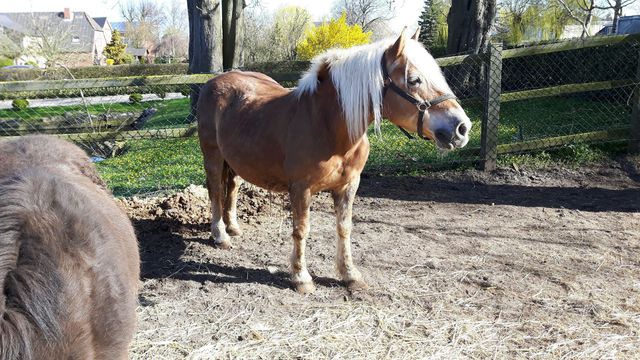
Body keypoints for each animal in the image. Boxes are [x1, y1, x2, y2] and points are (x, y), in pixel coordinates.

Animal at [196, 28, 470, 292]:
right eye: (414, 80)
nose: (461, 128)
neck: (326, 125)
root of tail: (214, 82)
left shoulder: (349, 185)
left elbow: (344, 228)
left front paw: (349, 275)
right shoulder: (301, 189)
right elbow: (301, 230)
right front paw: (301, 277)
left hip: (234, 160)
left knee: (232, 187)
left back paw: (233, 226)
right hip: (212, 155)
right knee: (216, 191)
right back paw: (220, 235)